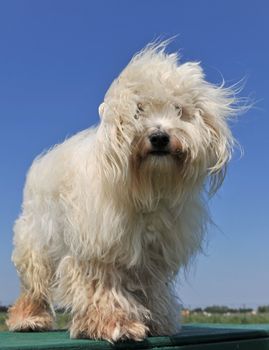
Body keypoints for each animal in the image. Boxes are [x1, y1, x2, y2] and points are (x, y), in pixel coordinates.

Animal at [6, 42, 237, 340]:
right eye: (138, 110)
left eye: (179, 110)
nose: (159, 137)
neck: (146, 187)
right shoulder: (100, 246)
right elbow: (104, 286)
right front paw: (116, 323)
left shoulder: (153, 254)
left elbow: (152, 287)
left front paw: (158, 320)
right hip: (37, 241)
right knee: (33, 284)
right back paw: (29, 319)